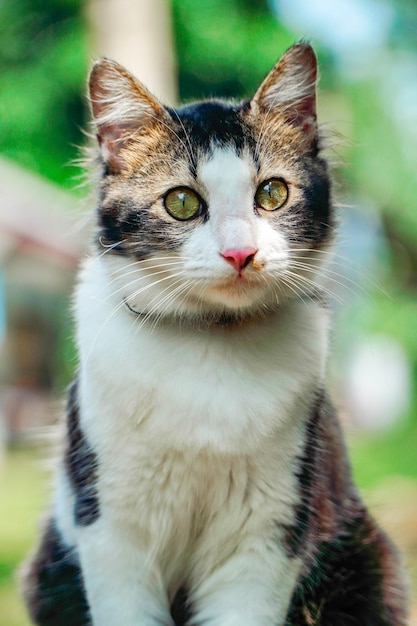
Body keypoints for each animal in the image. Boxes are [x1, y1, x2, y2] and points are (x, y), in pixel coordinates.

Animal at [22, 42, 406, 624]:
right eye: (181, 203)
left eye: (272, 194)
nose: (240, 253)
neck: (212, 342)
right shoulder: (112, 530)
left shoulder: (267, 533)